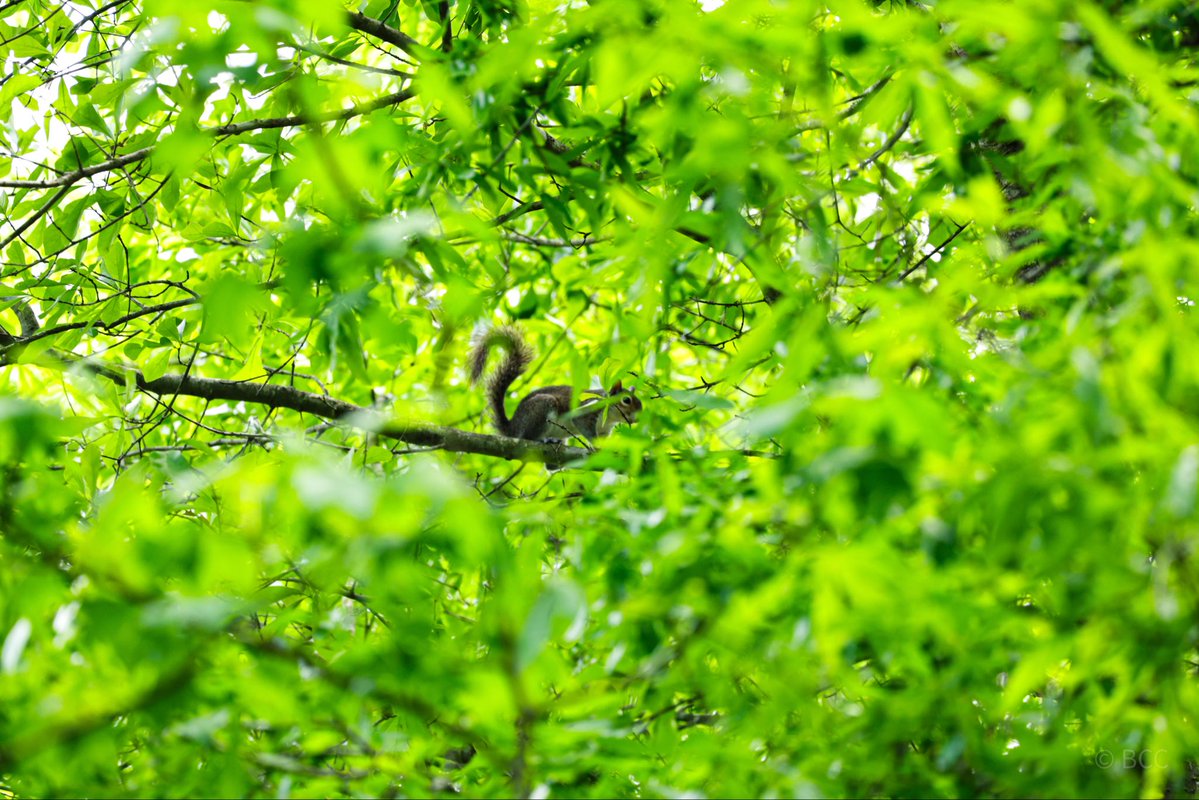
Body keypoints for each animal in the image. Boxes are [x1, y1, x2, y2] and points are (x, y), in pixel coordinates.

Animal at [469, 325, 642, 442]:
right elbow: (582, 423)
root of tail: (512, 428)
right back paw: (544, 440)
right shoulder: (588, 410)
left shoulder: (605, 432)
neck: (610, 417)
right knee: (527, 438)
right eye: (626, 400)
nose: (638, 418)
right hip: (541, 409)